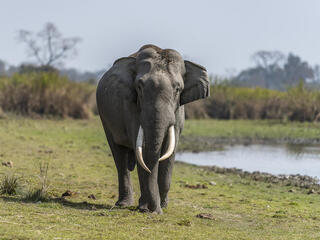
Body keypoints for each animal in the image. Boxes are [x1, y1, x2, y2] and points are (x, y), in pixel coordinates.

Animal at [96, 44, 209, 214]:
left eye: (178, 89)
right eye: (139, 87)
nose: (154, 210)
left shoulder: (178, 111)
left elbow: (170, 151)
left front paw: (161, 206)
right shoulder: (131, 106)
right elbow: (143, 153)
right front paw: (148, 209)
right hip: (105, 116)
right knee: (119, 155)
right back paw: (124, 204)